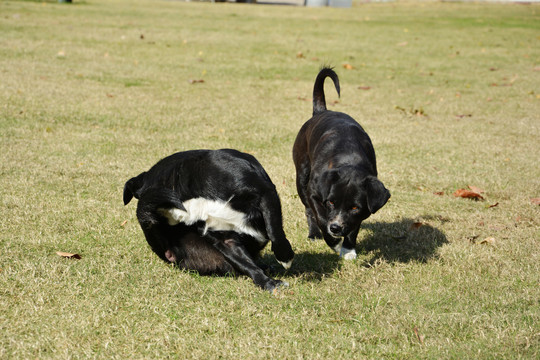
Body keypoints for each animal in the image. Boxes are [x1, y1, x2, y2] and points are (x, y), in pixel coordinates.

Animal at [123, 148, 296, 292]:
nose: (168, 253)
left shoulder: (264, 193)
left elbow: (275, 232)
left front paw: (285, 257)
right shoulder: (223, 239)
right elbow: (246, 264)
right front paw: (267, 283)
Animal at [294, 67, 390, 258]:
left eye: (354, 208)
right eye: (331, 202)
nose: (336, 228)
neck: (349, 160)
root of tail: (321, 111)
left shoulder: (360, 211)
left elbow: (354, 226)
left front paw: (348, 249)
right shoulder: (314, 193)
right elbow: (320, 217)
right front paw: (334, 244)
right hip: (301, 177)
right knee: (308, 210)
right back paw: (314, 234)